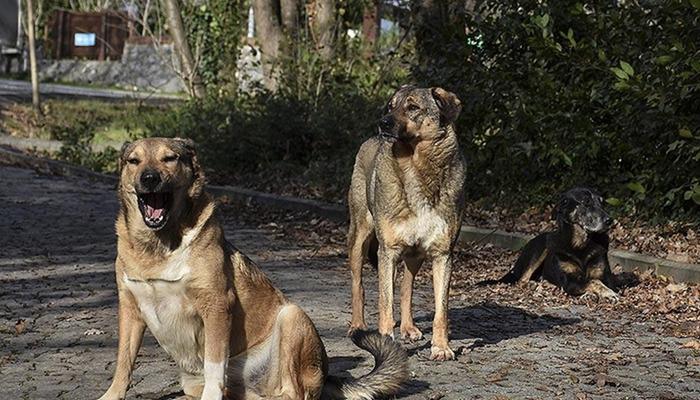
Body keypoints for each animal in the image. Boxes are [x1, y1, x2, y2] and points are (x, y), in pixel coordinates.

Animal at [95, 138, 408, 400]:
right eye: (133, 161)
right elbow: (124, 362)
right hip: (197, 382)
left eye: (169, 158)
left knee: (292, 394)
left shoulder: (216, 305)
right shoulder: (130, 309)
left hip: (291, 317)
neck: (159, 246)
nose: (149, 178)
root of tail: (326, 374)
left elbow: (214, 367)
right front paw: (111, 395)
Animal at [348, 86, 468, 360]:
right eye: (390, 106)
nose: (382, 123)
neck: (417, 167)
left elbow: (440, 311)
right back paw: (358, 326)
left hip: (415, 255)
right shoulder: (388, 252)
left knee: (406, 287)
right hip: (360, 239)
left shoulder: (443, 254)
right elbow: (385, 303)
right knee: (359, 285)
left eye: (412, 107)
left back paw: (408, 327)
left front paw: (441, 347)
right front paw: (385, 343)